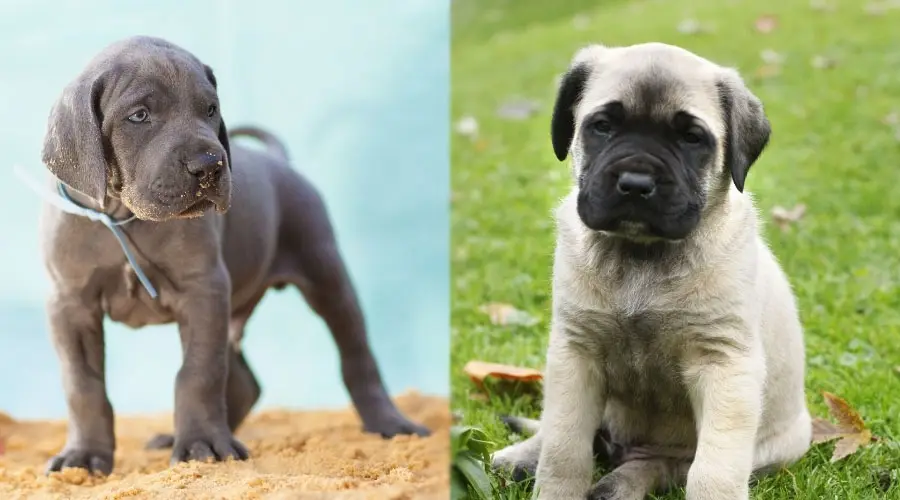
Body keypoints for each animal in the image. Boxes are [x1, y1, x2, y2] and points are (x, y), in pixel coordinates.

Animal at [36, 36, 428, 476]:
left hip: (326, 275)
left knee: (356, 354)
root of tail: (281, 162)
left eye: (210, 110)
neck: (124, 218)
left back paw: (388, 422)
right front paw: (83, 457)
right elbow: (82, 383)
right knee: (245, 382)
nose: (209, 165)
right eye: (139, 115)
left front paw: (202, 444)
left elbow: (198, 372)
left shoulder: (204, 290)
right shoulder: (70, 303)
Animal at [488, 43, 812, 500]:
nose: (636, 183)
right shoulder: (575, 356)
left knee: (661, 465)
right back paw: (521, 456)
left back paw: (618, 484)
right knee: (563, 434)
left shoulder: (724, 364)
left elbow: (713, 470)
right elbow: (564, 448)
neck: (641, 256)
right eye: (602, 127)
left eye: (691, 138)